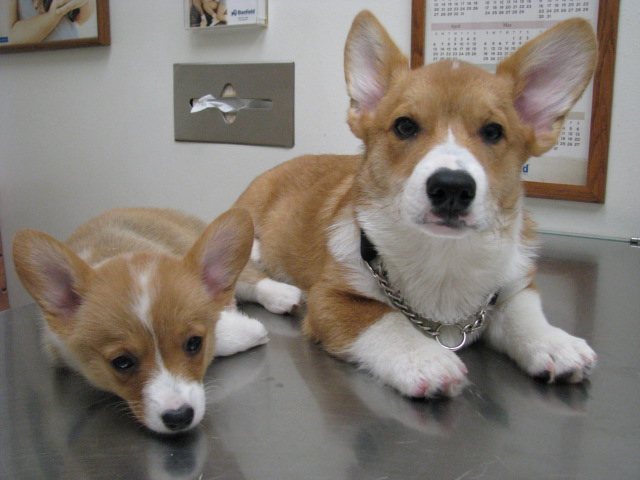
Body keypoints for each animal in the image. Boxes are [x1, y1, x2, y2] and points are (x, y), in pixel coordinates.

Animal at [235, 11, 600, 400]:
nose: (452, 187)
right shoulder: (331, 298)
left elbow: (523, 313)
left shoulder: (514, 285)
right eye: (405, 126)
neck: (443, 256)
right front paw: (425, 359)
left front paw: (555, 344)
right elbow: (385, 320)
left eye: (493, 132)